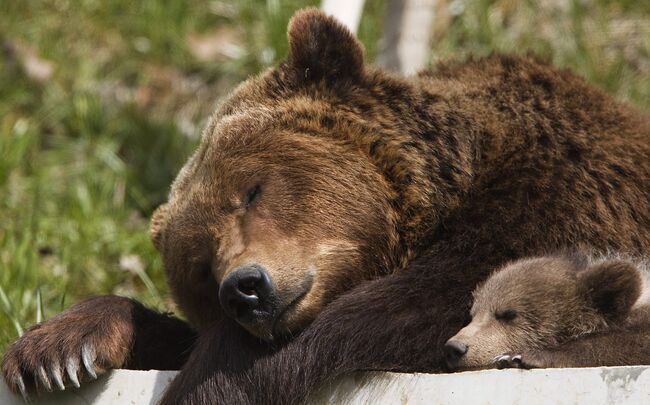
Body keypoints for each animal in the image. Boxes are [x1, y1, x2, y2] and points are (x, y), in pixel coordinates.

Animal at [1, 7, 648, 404]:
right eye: (200, 265)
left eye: (251, 190)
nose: (244, 288)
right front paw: (60, 349)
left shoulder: (557, 195)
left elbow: (422, 314)